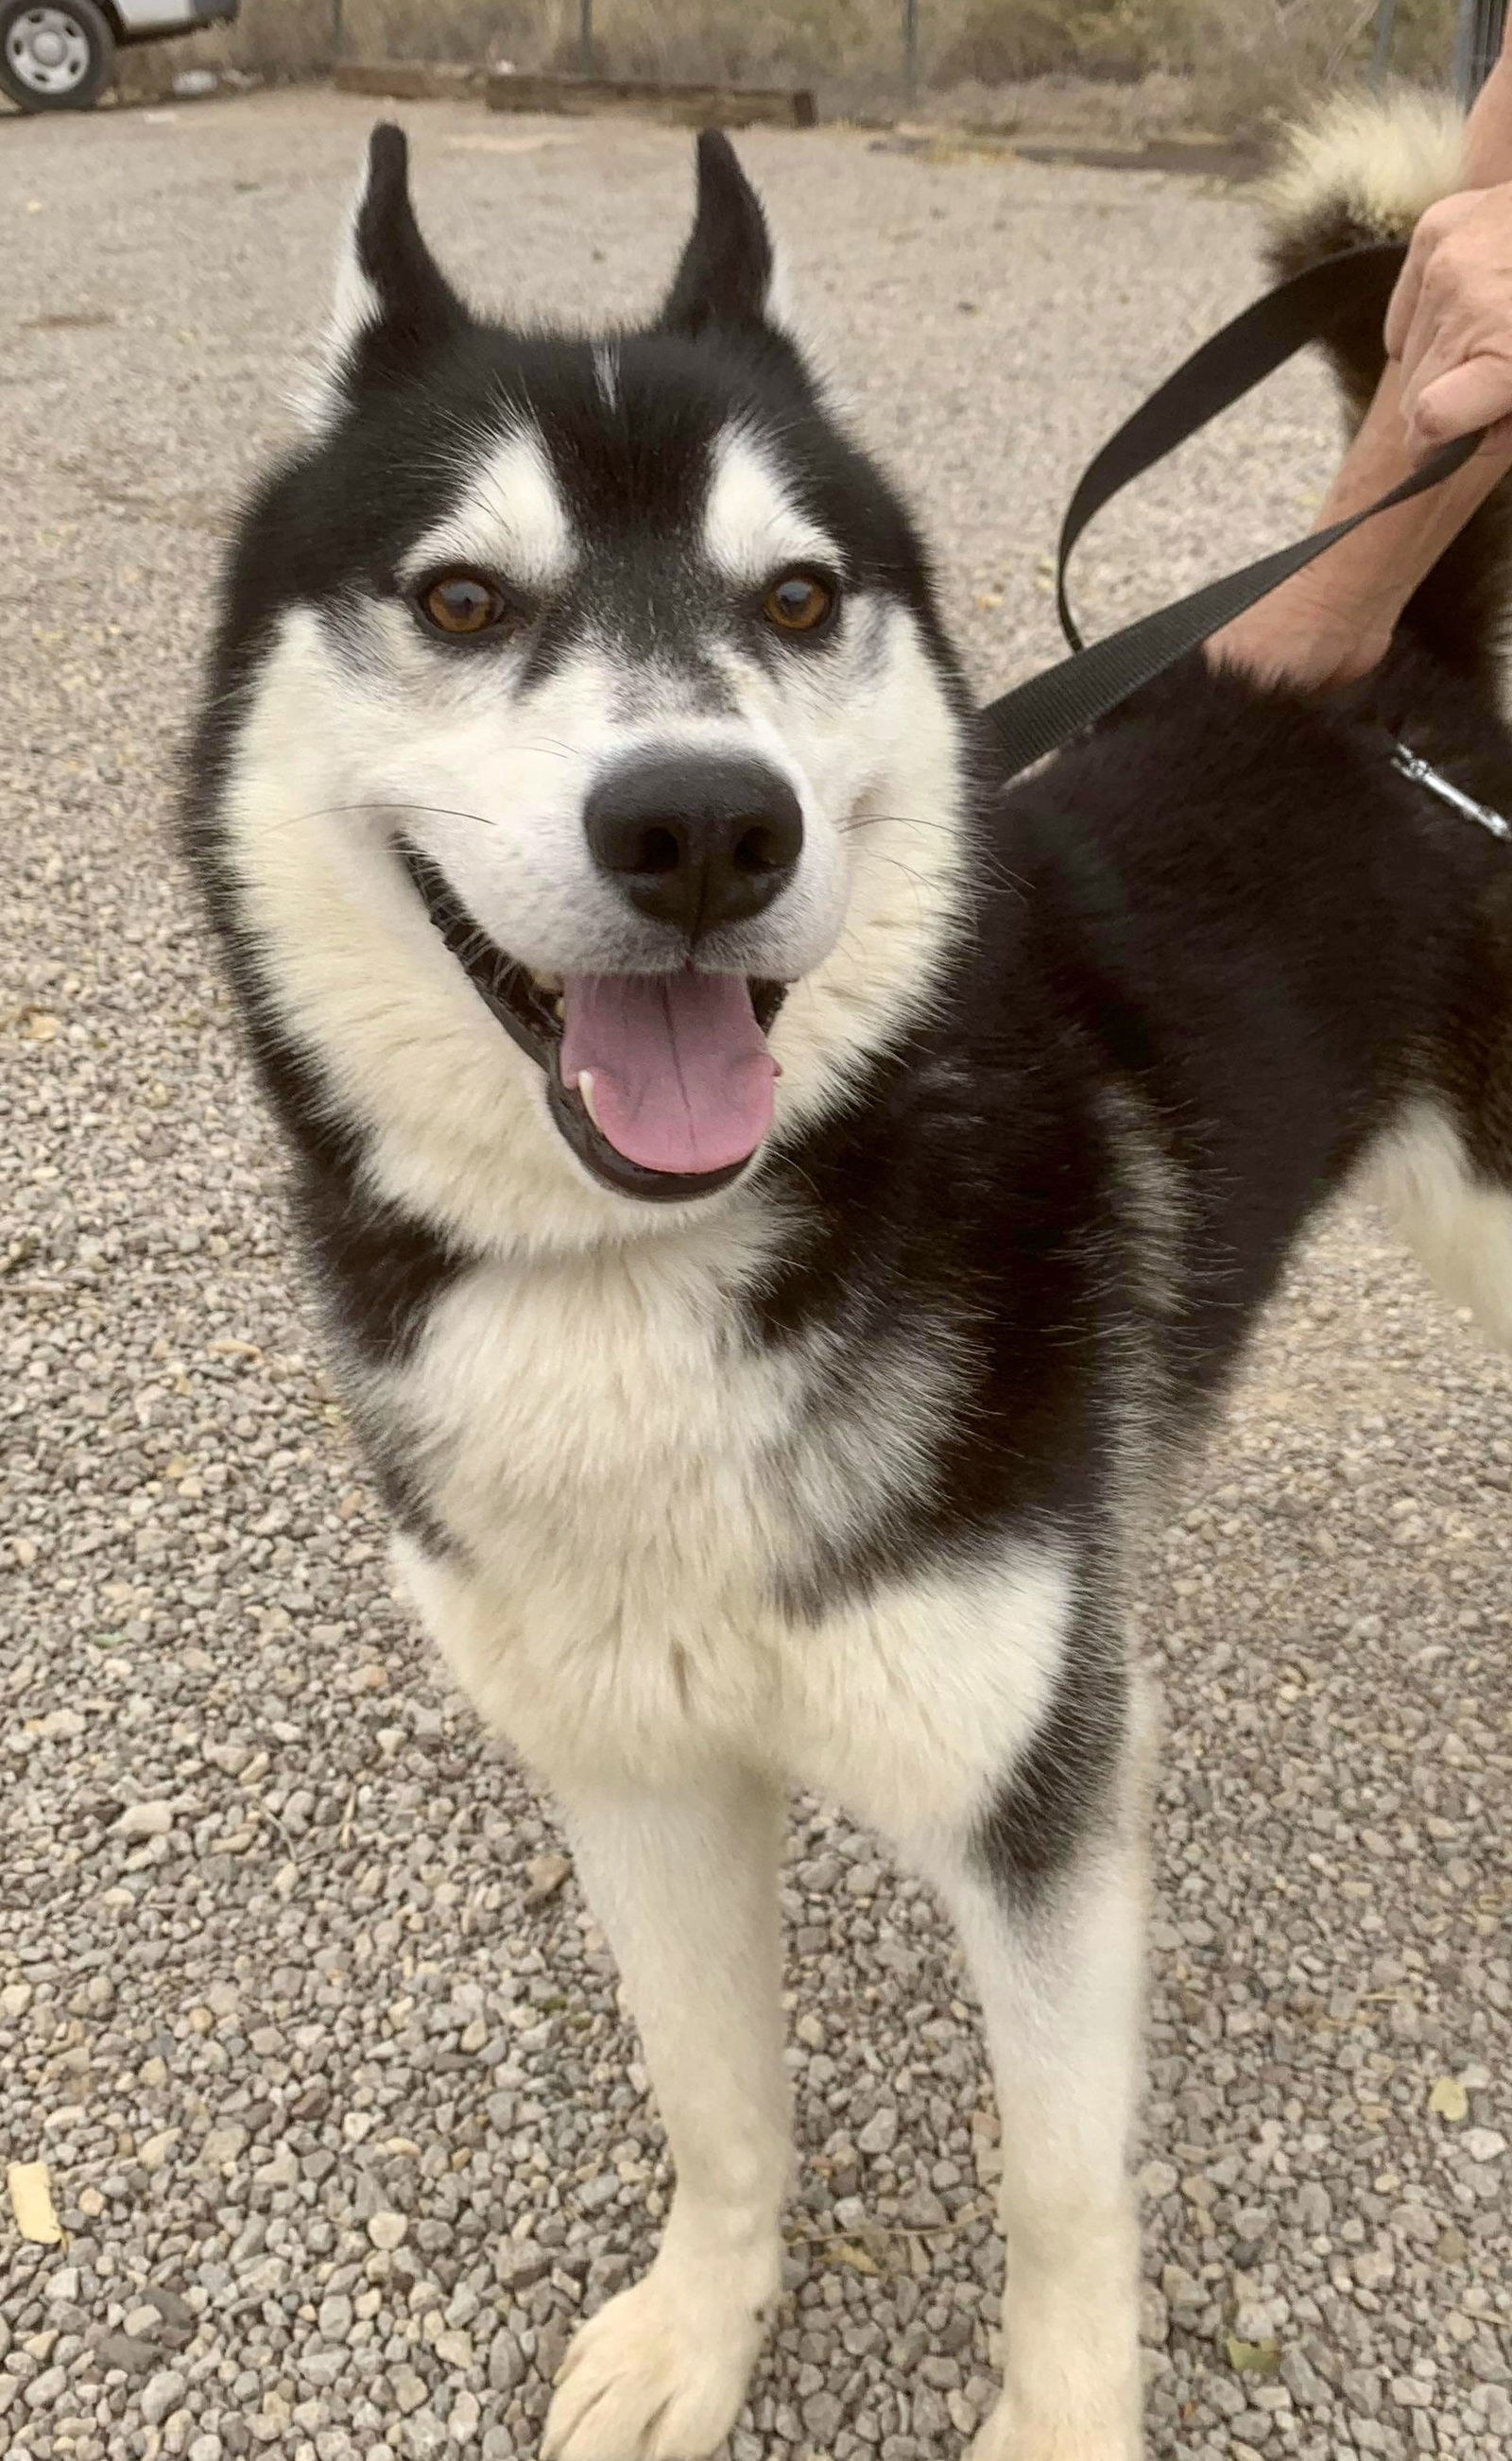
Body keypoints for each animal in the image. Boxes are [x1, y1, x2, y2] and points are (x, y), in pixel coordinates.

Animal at [187, 95, 1512, 2461]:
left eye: (795, 597)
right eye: (458, 596)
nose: (703, 825)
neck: (653, 1274)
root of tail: (1406, 683)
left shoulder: (1034, 1796)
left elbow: (1058, 2192)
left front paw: (1057, 2428)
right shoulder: (635, 1773)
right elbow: (717, 2106)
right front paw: (698, 2337)